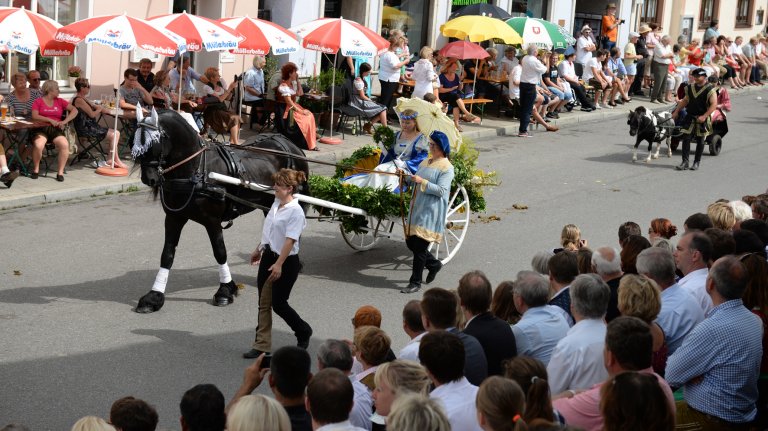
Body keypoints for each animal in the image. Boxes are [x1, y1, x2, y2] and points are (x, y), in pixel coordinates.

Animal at [130, 107, 308, 314]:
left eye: (153, 142)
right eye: (136, 141)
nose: (148, 179)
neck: (197, 169)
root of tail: (288, 142)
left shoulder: (212, 220)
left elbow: (220, 252)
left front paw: (226, 290)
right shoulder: (174, 218)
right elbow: (167, 255)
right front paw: (154, 297)